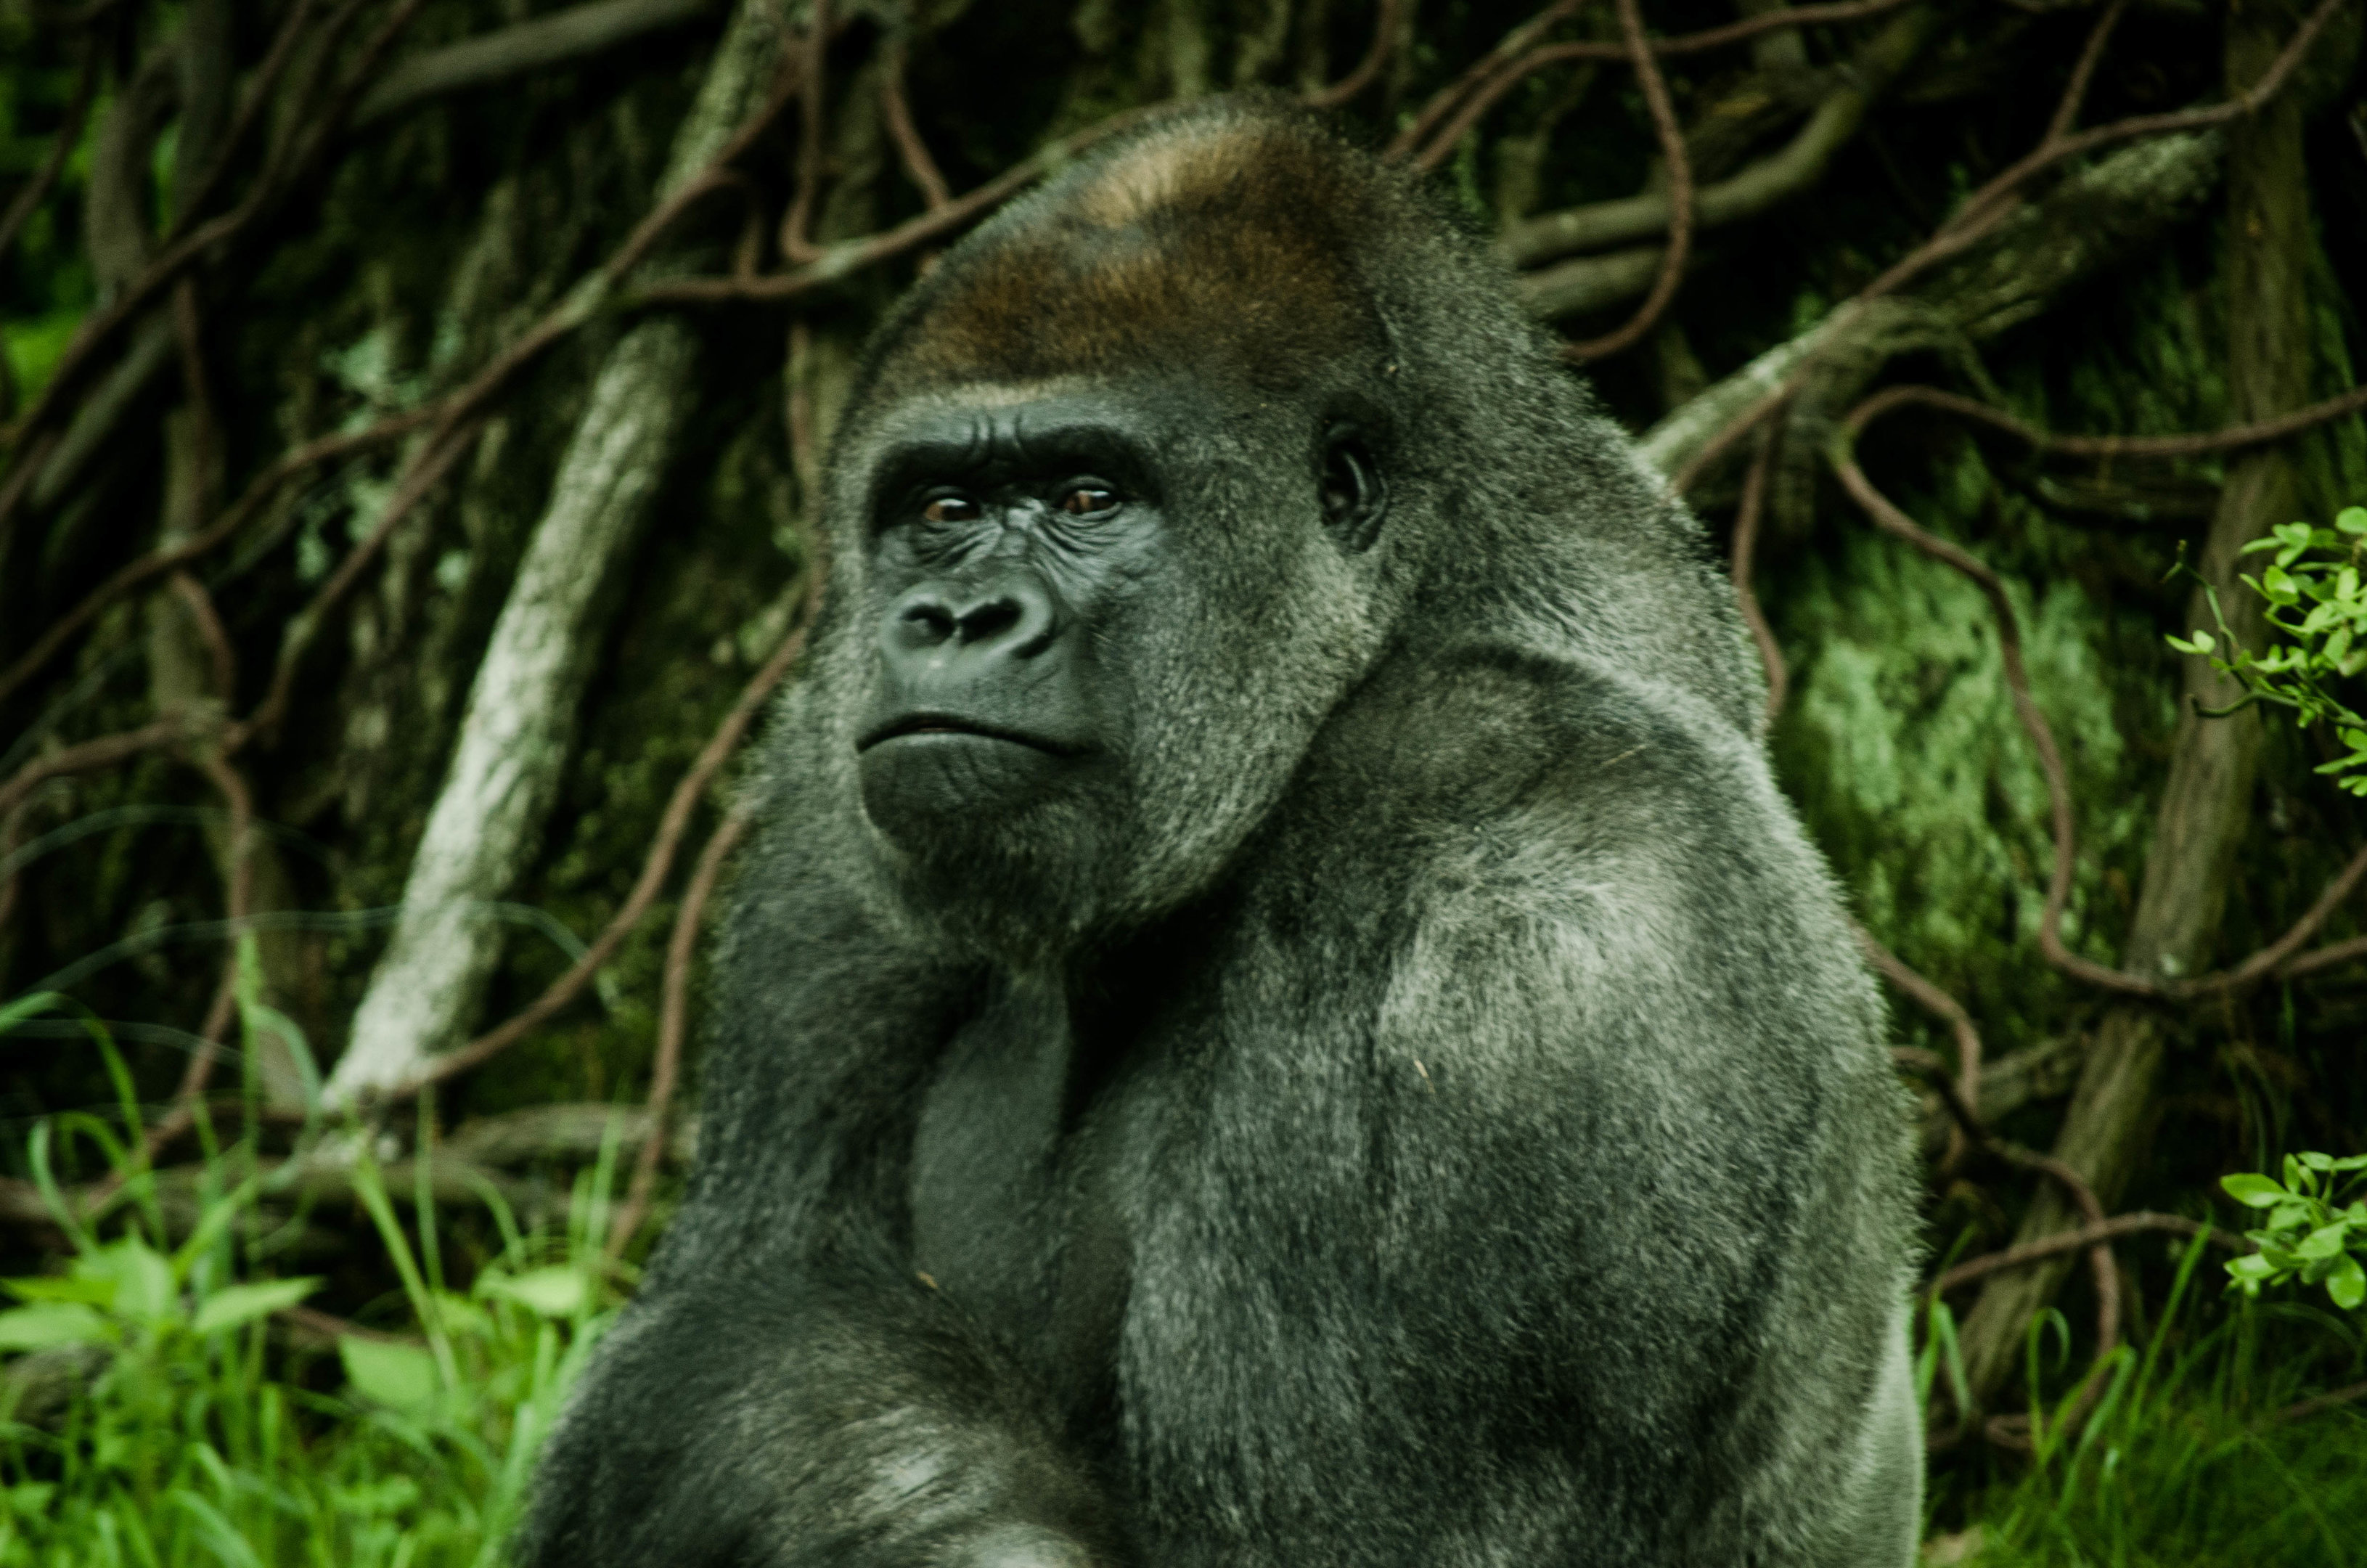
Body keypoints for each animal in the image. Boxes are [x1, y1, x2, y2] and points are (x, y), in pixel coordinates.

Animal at [518, 93, 1922, 1568]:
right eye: (941, 512)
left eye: (1089, 497)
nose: (955, 618)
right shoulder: (821, 823)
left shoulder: (1519, 855)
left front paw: (772, 1415)